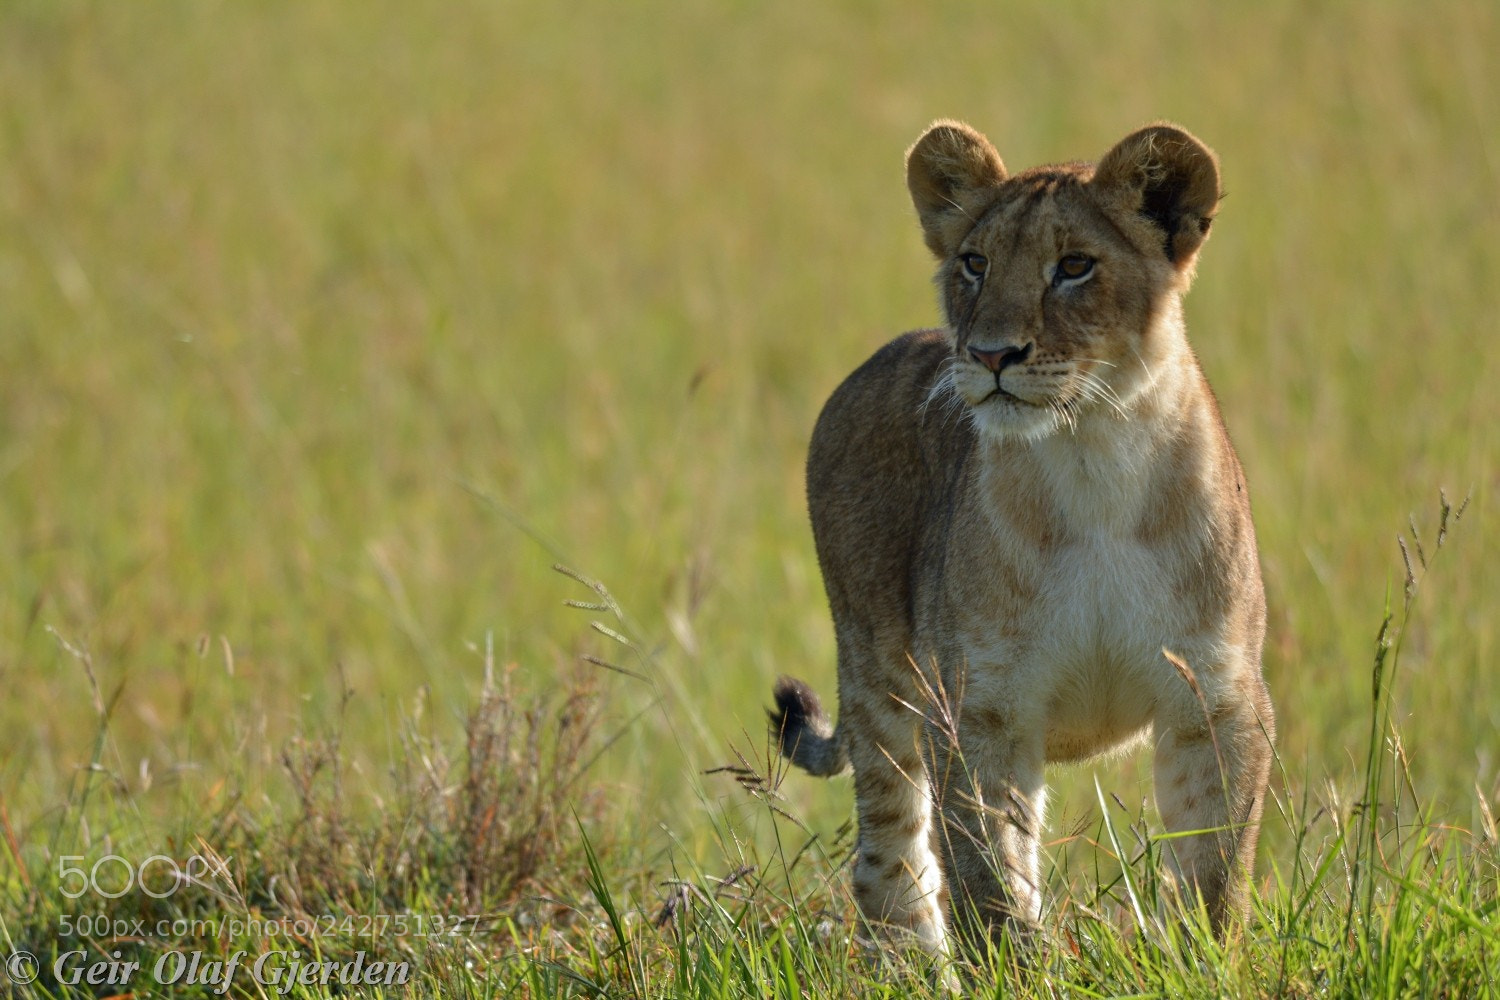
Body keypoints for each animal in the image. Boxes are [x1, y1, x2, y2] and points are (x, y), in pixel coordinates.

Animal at [770, 120, 1275, 958]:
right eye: (974, 263)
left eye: (1074, 267)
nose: (990, 354)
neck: (1094, 453)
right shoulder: (978, 710)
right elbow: (990, 883)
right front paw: (1014, 968)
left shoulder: (1216, 697)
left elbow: (1213, 872)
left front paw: (1206, 962)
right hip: (878, 683)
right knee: (889, 869)